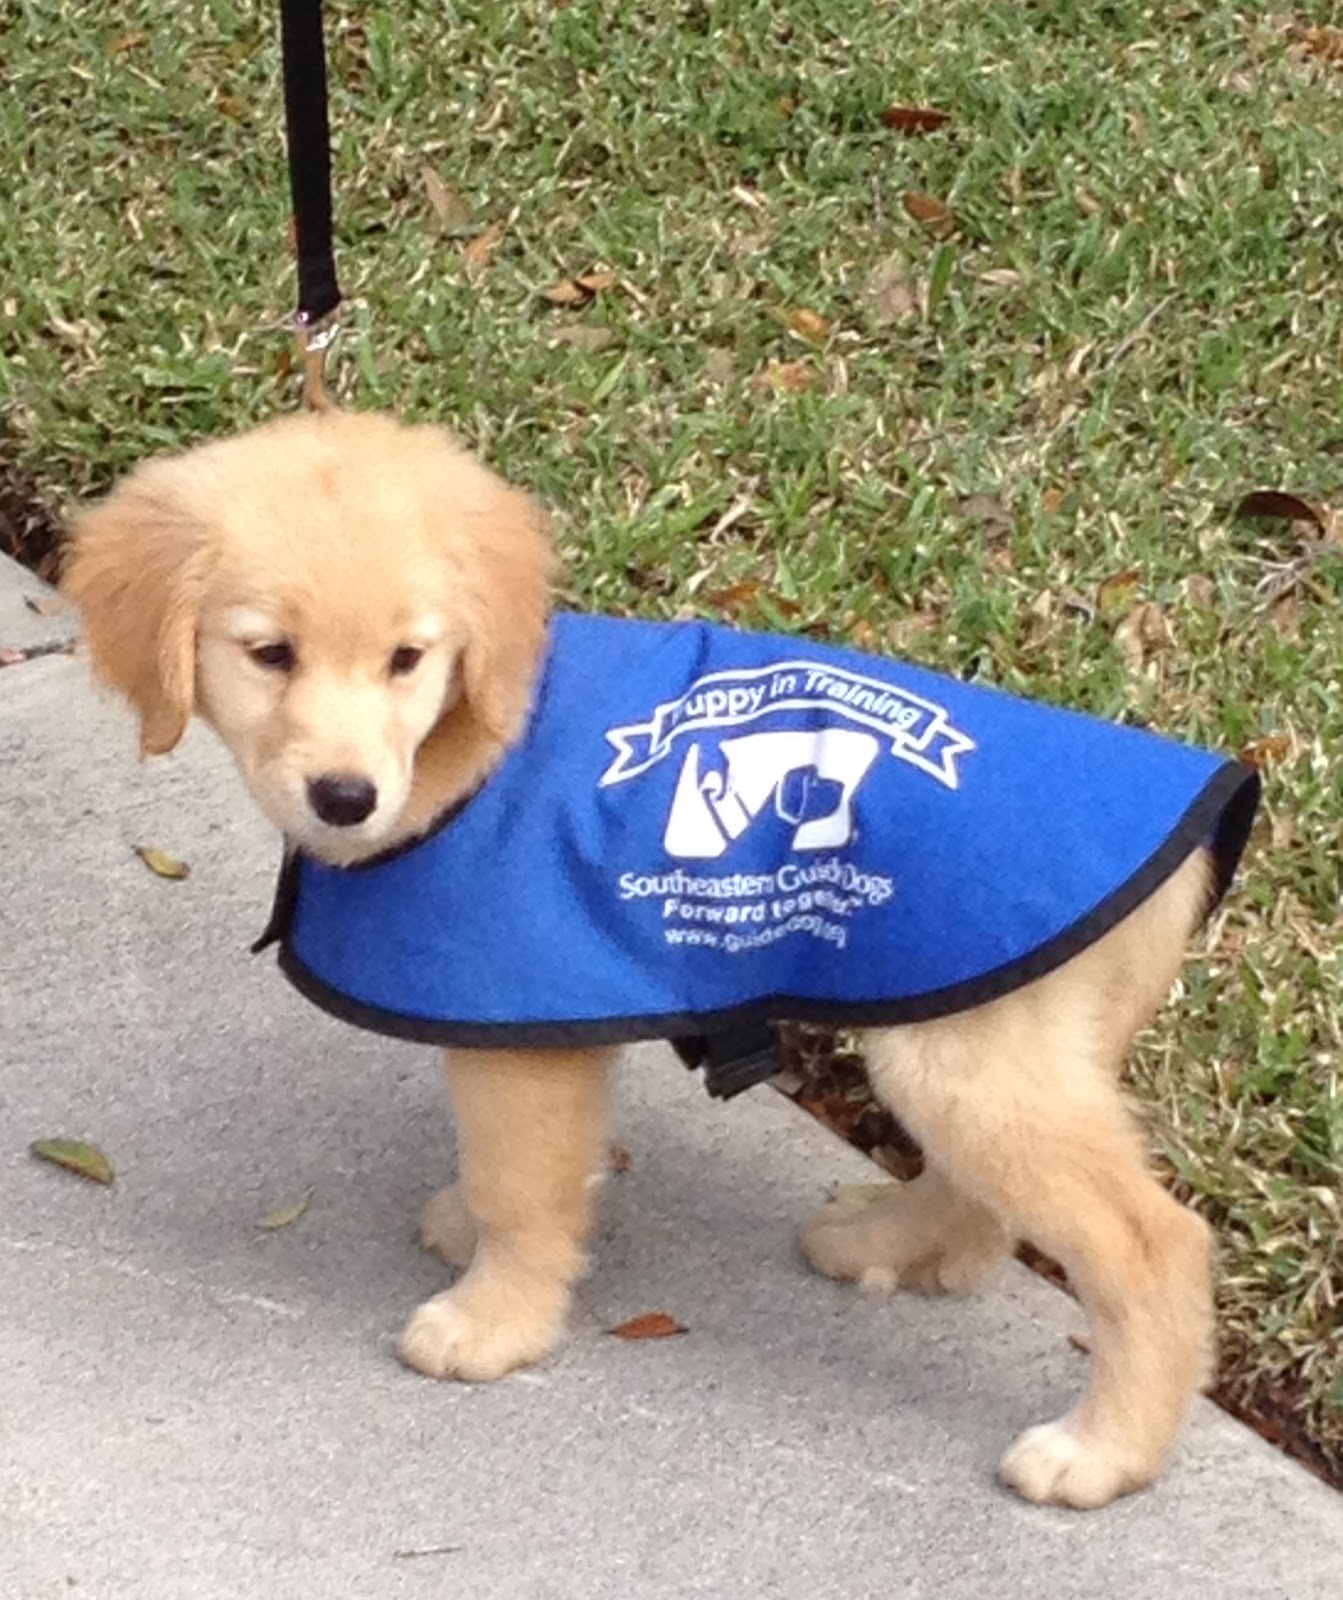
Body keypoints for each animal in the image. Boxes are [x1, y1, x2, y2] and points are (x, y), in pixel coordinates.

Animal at [63, 406, 1261, 1504]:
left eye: (408, 658)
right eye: (269, 653)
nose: (345, 798)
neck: (475, 745)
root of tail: (1198, 822)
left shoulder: (520, 1031)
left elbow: (519, 1187)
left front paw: (495, 1321)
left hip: (967, 1051)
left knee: (1151, 1242)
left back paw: (1100, 1451)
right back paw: (884, 1240)